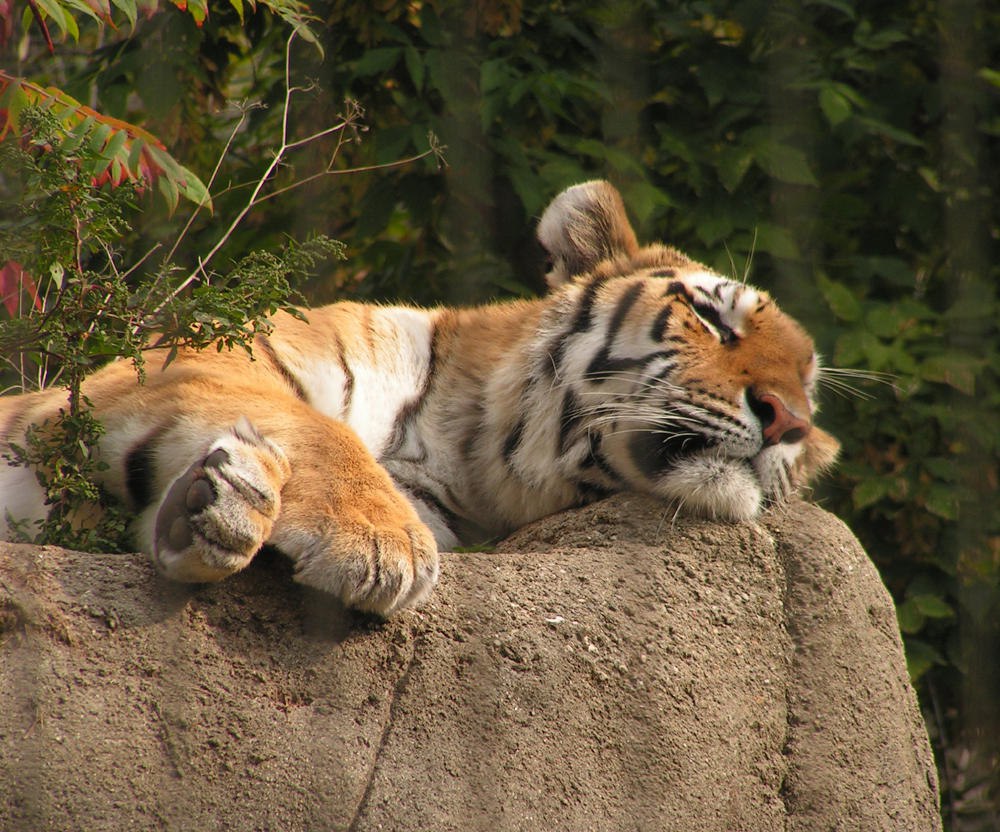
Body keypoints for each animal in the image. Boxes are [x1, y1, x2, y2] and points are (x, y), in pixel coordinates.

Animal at [0, 181, 839, 616]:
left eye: (807, 387)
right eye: (711, 316)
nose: (791, 423)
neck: (474, 460)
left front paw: (207, 511)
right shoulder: (193, 359)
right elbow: (314, 424)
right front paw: (374, 541)